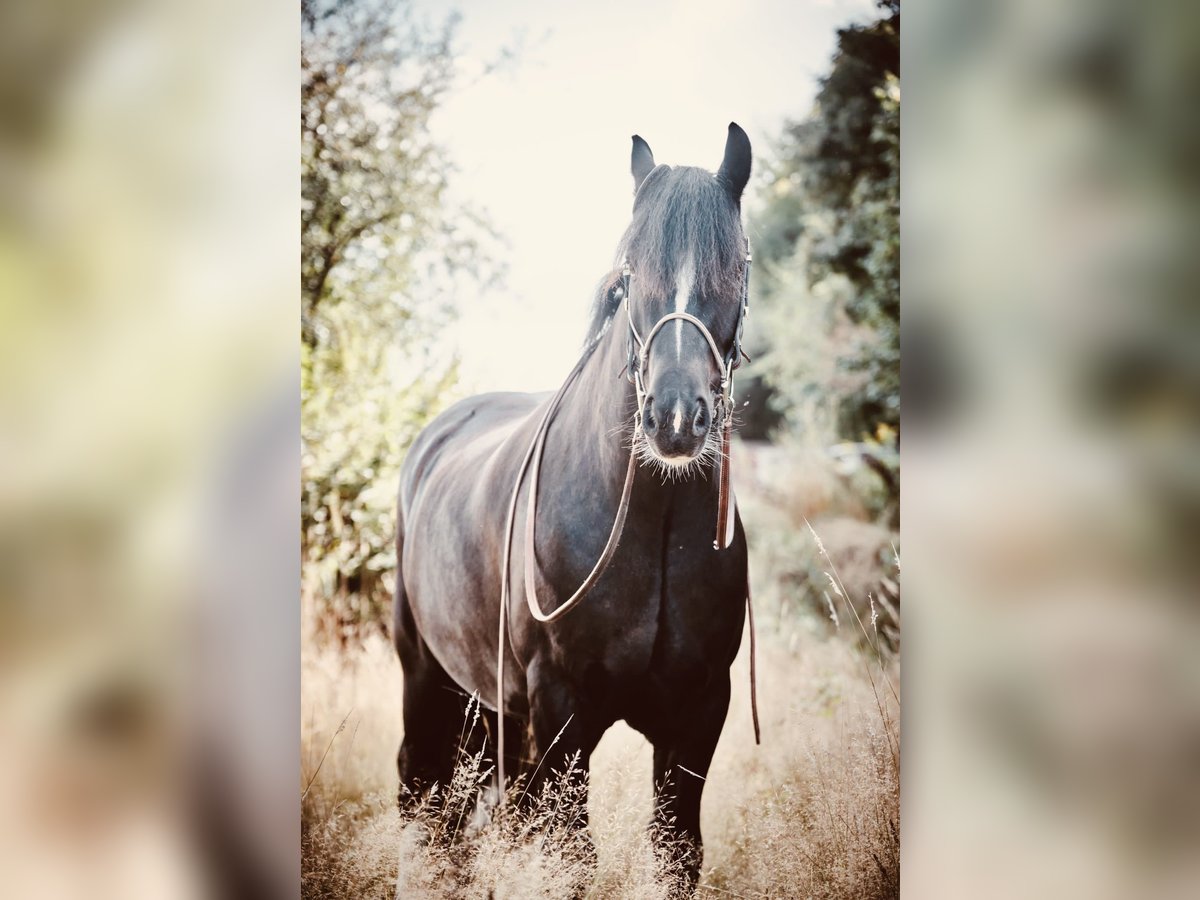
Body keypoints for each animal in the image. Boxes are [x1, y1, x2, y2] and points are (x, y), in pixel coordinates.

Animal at [391, 123, 748, 892]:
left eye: (735, 268)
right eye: (629, 275)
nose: (676, 419)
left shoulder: (699, 713)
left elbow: (678, 853)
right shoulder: (560, 713)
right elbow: (570, 858)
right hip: (427, 676)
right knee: (420, 790)